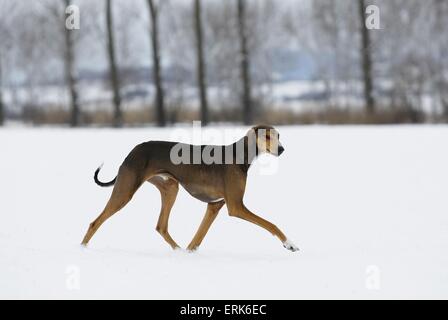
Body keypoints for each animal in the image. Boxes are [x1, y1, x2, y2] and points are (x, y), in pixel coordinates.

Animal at [82, 125, 300, 252]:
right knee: (94, 223)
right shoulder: (236, 207)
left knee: (161, 226)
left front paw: (189, 253)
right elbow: (271, 224)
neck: (239, 155)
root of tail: (132, 151)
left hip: (170, 189)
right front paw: (289, 243)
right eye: (267, 136)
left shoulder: (214, 206)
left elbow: (197, 239)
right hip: (125, 192)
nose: (281, 149)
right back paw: (82, 249)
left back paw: (178, 251)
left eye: (278, 135)